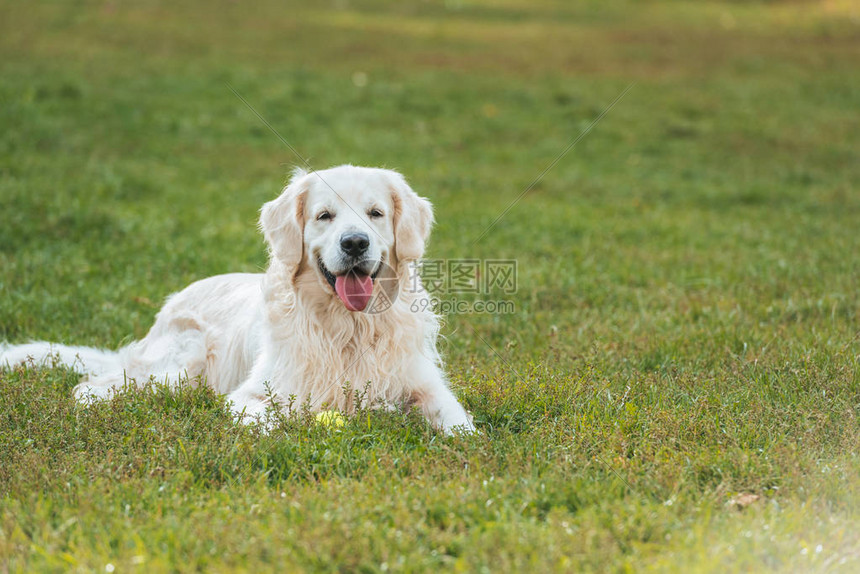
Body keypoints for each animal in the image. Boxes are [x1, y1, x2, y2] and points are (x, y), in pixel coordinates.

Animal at [0, 166, 474, 436]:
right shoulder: (253, 394)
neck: (348, 327)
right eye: (325, 216)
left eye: (376, 214)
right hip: (180, 364)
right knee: (94, 388)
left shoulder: (426, 385)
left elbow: (459, 423)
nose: (355, 243)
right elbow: (270, 420)